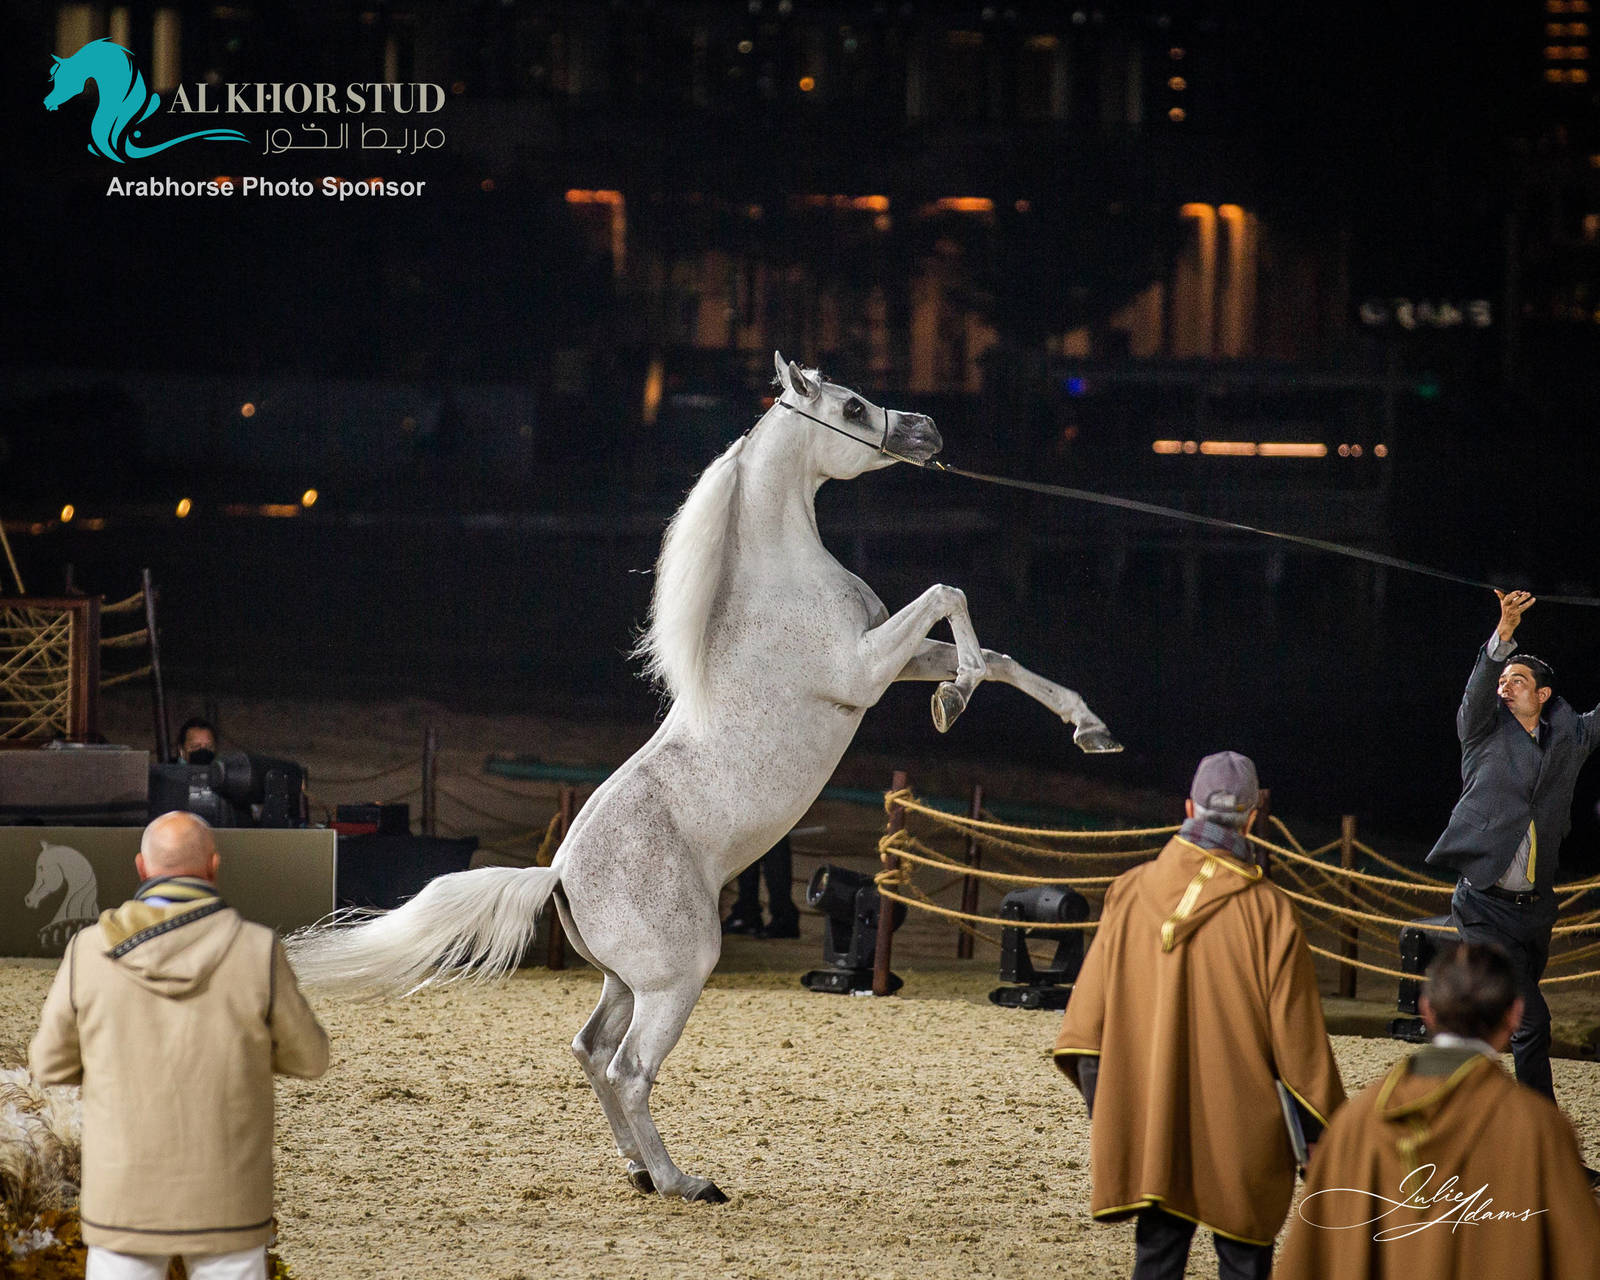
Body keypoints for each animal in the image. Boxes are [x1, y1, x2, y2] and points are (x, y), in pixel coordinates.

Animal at [286, 352, 1122, 1202]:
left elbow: (1001, 657)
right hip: (677, 977)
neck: (783, 580)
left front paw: (1084, 726)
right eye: (853, 407)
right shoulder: (862, 670)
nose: (927, 431)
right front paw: (958, 697)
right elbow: (950, 595)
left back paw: (639, 1170)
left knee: (591, 1051)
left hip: (629, 982)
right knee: (628, 1067)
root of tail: (555, 871)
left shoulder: (892, 658)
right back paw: (684, 1181)